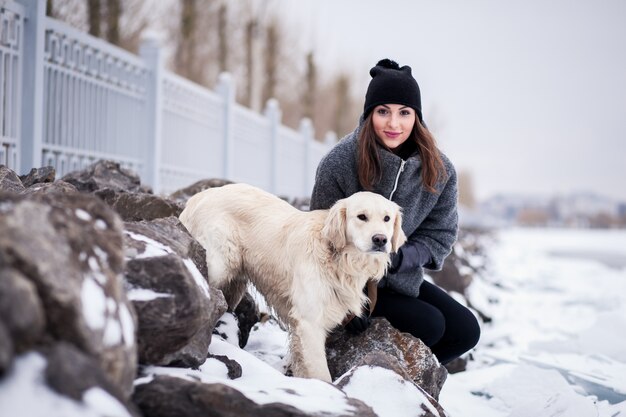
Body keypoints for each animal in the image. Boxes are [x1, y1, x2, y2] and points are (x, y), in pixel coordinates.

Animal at [180, 182, 404, 380]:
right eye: (361, 217)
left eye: (387, 218)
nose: (380, 239)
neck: (339, 258)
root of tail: (200, 196)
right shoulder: (309, 323)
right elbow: (320, 374)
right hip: (220, 265)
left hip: (234, 282)